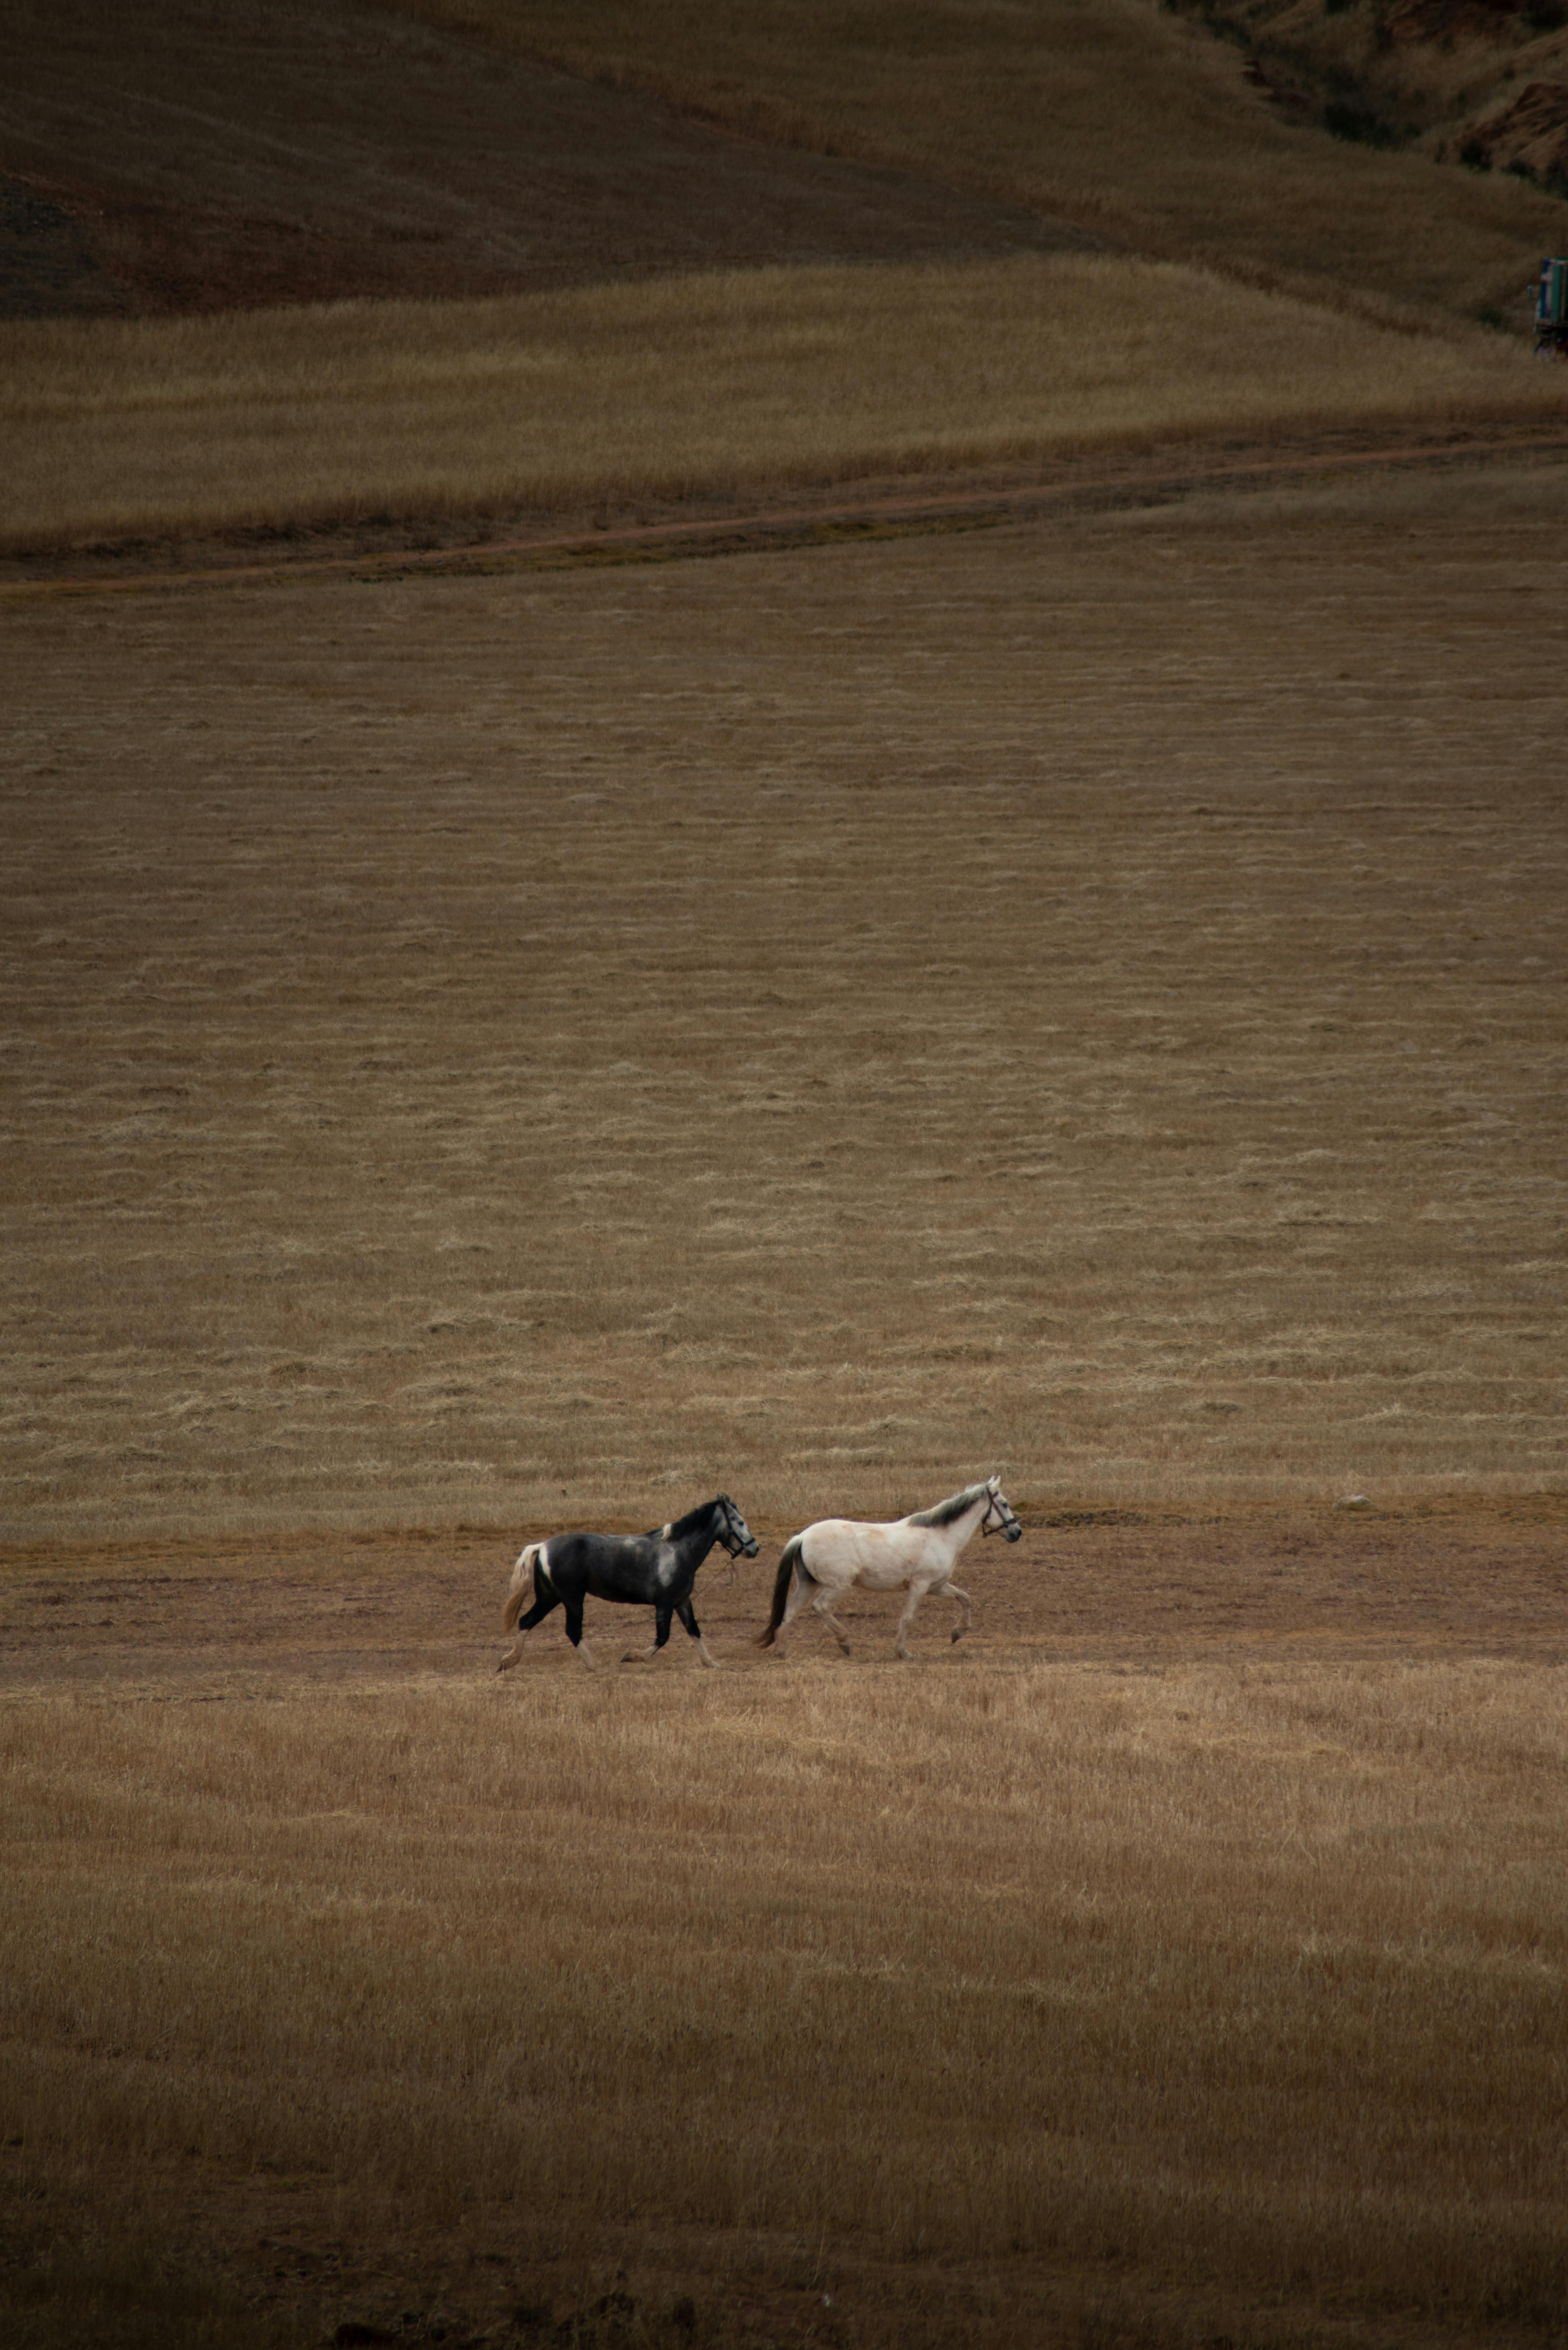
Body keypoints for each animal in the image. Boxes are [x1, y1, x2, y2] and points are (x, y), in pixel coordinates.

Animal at [497, 1493, 759, 1672]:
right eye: (740, 1522)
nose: (755, 1548)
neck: (678, 1551)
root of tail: (542, 1546)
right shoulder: (664, 1604)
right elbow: (663, 1637)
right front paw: (632, 1656)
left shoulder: (682, 1601)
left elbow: (694, 1631)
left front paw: (712, 1663)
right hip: (572, 1598)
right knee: (572, 1630)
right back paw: (595, 1665)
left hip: (550, 1597)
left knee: (526, 1621)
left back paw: (508, 1661)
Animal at [756, 1474, 1021, 1660]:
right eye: (1004, 1503)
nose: (1017, 1533)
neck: (942, 1536)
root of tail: (802, 1537)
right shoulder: (920, 1585)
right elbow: (907, 1618)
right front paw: (903, 1653)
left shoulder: (937, 1586)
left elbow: (965, 1599)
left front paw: (957, 1634)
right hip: (837, 1585)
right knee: (820, 1607)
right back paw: (845, 1642)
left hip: (807, 1583)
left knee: (789, 1613)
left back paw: (782, 1652)